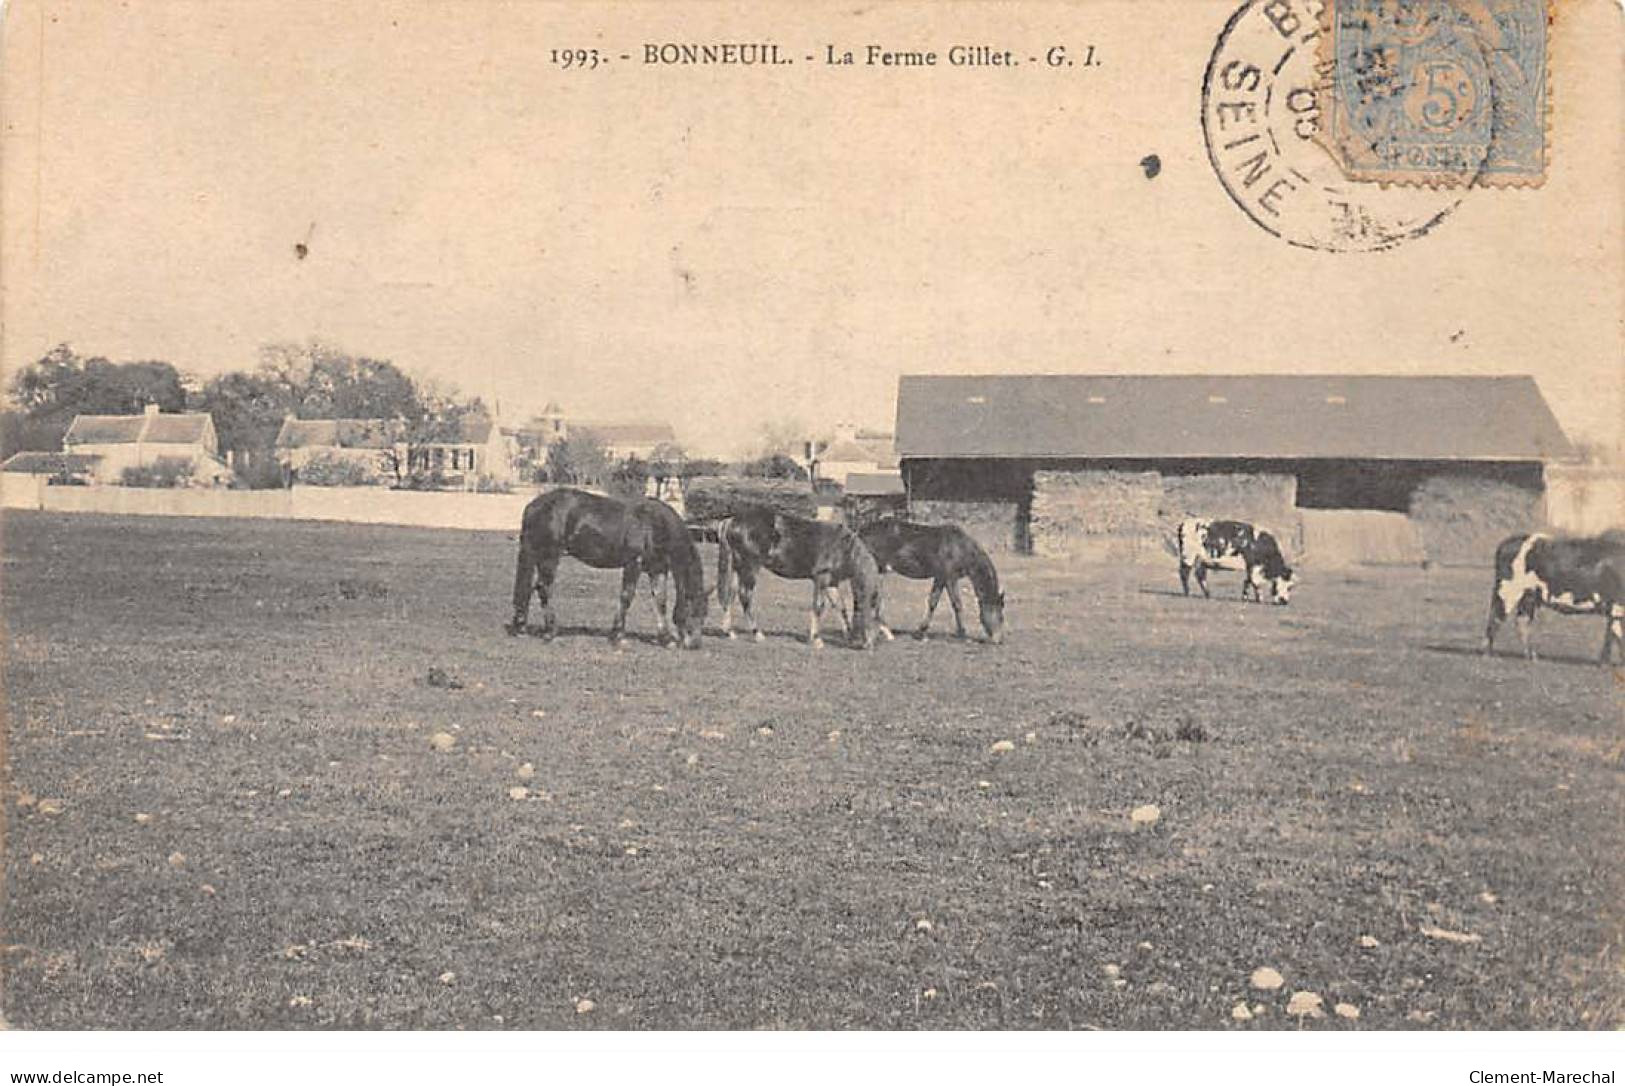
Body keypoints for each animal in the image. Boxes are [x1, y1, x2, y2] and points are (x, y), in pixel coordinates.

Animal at [503, 490, 708, 643]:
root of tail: (534, 505)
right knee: (544, 588)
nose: (694, 644)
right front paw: (617, 634)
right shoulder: (633, 564)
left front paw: (665, 638)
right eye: (694, 609)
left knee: (529, 588)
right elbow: (627, 596)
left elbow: (660, 601)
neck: (653, 524)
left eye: (704, 614)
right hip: (549, 557)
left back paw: (522, 626)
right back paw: (550, 631)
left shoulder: (657, 569)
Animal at [718, 507, 884, 650]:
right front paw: (816, 640)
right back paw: (757, 634)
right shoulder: (821, 579)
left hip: (738, 568)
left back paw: (730, 631)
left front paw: (848, 637)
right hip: (750, 568)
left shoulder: (832, 583)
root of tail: (731, 521)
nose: (869, 645)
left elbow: (840, 607)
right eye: (873, 611)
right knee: (745, 596)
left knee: (730, 595)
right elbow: (819, 607)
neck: (843, 547)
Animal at [851, 520, 1001, 640]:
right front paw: (962, 634)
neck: (959, 547)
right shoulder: (950, 578)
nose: (998, 639)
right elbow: (957, 604)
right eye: (999, 611)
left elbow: (933, 602)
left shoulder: (940, 578)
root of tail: (860, 532)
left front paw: (920, 632)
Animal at [1488, 533, 1625, 666]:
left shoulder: (1615, 610)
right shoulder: (1617, 607)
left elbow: (1612, 635)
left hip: (1528, 597)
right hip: (1508, 591)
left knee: (1521, 622)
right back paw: (1491, 655)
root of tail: (1507, 542)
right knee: (1496, 618)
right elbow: (1616, 635)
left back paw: (1532, 656)